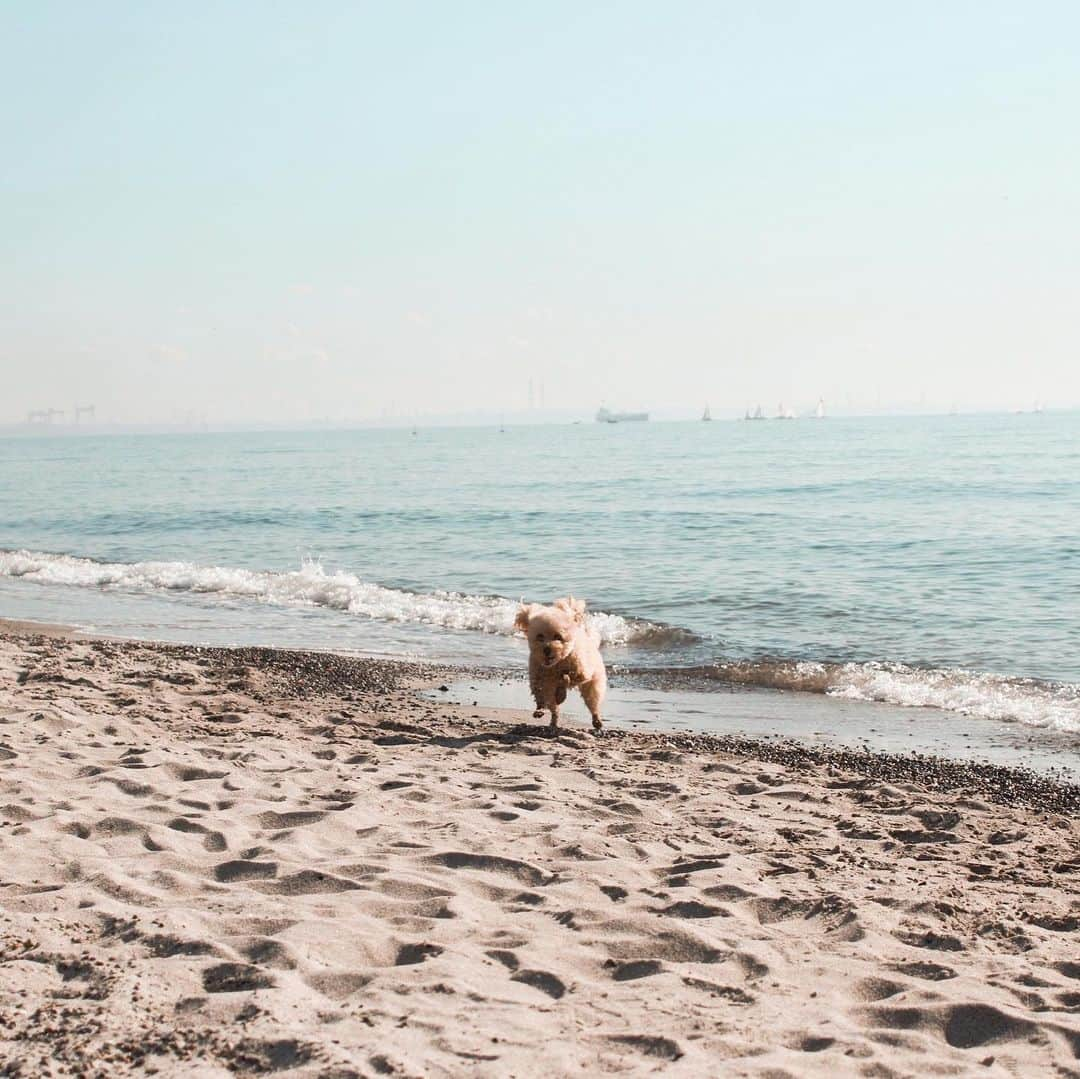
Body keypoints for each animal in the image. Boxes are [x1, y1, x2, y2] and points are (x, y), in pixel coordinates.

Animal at [514, 596, 609, 730]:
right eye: (540, 636)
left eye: (558, 636)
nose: (547, 649)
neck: (556, 664)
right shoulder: (538, 677)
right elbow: (540, 692)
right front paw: (541, 707)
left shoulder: (581, 673)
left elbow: (565, 678)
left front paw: (561, 693)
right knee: (554, 709)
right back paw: (551, 718)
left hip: (593, 684)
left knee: (593, 702)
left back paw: (597, 720)